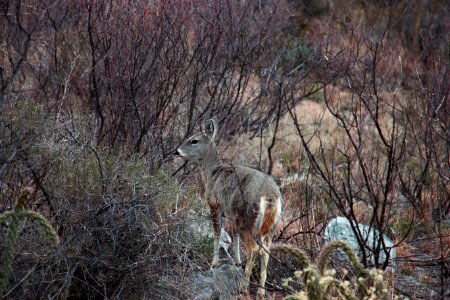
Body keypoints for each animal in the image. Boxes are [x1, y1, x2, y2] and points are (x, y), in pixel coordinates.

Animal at [175, 118, 284, 298]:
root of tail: (269, 197)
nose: (176, 152)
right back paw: (260, 291)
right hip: (269, 226)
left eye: (194, 140)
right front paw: (237, 261)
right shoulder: (231, 214)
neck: (211, 174)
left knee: (254, 249)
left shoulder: (214, 205)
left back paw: (243, 286)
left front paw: (214, 263)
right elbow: (234, 238)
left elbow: (216, 233)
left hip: (246, 218)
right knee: (265, 251)